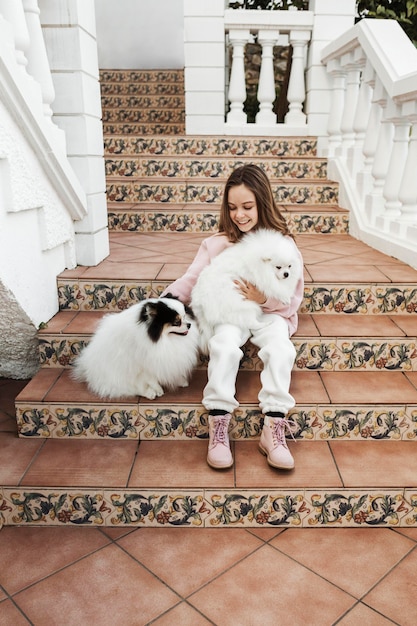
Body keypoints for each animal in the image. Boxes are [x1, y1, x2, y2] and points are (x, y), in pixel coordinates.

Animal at [72, 294, 200, 398]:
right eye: (177, 322)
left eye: (185, 316)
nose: (189, 325)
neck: (163, 339)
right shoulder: (144, 364)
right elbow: (152, 379)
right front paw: (159, 389)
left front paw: (181, 380)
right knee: (130, 388)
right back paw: (150, 393)